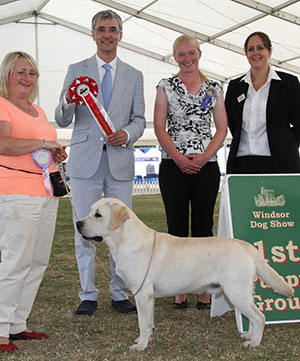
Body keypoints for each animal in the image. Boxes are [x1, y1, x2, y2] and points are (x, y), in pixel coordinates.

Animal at [76, 195, 294, 350]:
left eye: (98, 215)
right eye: (90, 211)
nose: (78, 224)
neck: (125, 240)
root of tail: (245, 245)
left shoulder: (143, 293)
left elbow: (142, 322)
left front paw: (141, 345)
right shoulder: (148, 296)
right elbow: (148, 322)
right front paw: (144, 339)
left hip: (236, 292)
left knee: (260, 317)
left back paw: (254, 342)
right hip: (239, 293)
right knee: (253, 316)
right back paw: (249, 335)